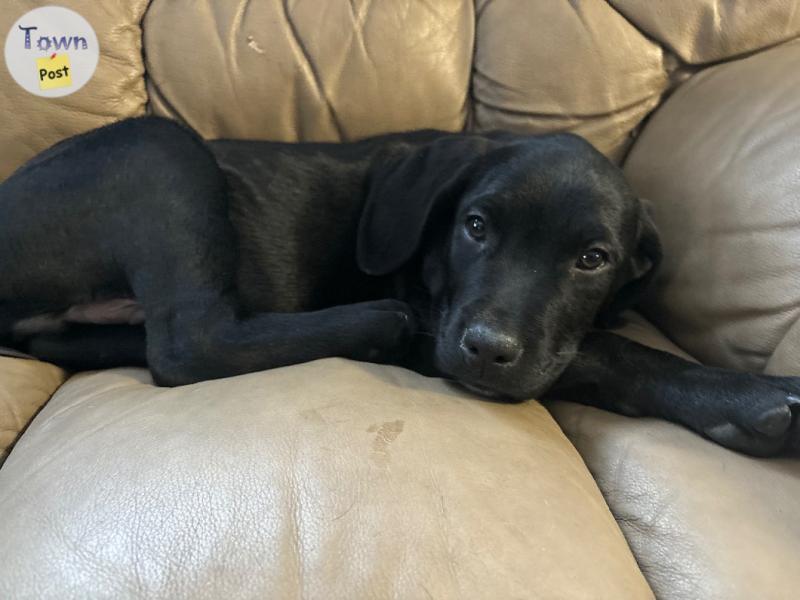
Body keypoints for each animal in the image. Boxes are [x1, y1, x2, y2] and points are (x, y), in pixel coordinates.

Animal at [0, 116, 796, 454]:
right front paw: (750, 399)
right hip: (154, 146)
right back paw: (375, 321)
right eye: (475, 226)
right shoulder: (446, 331)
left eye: (593, 259)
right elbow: (607, 354)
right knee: (188, 344)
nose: (486, 348)